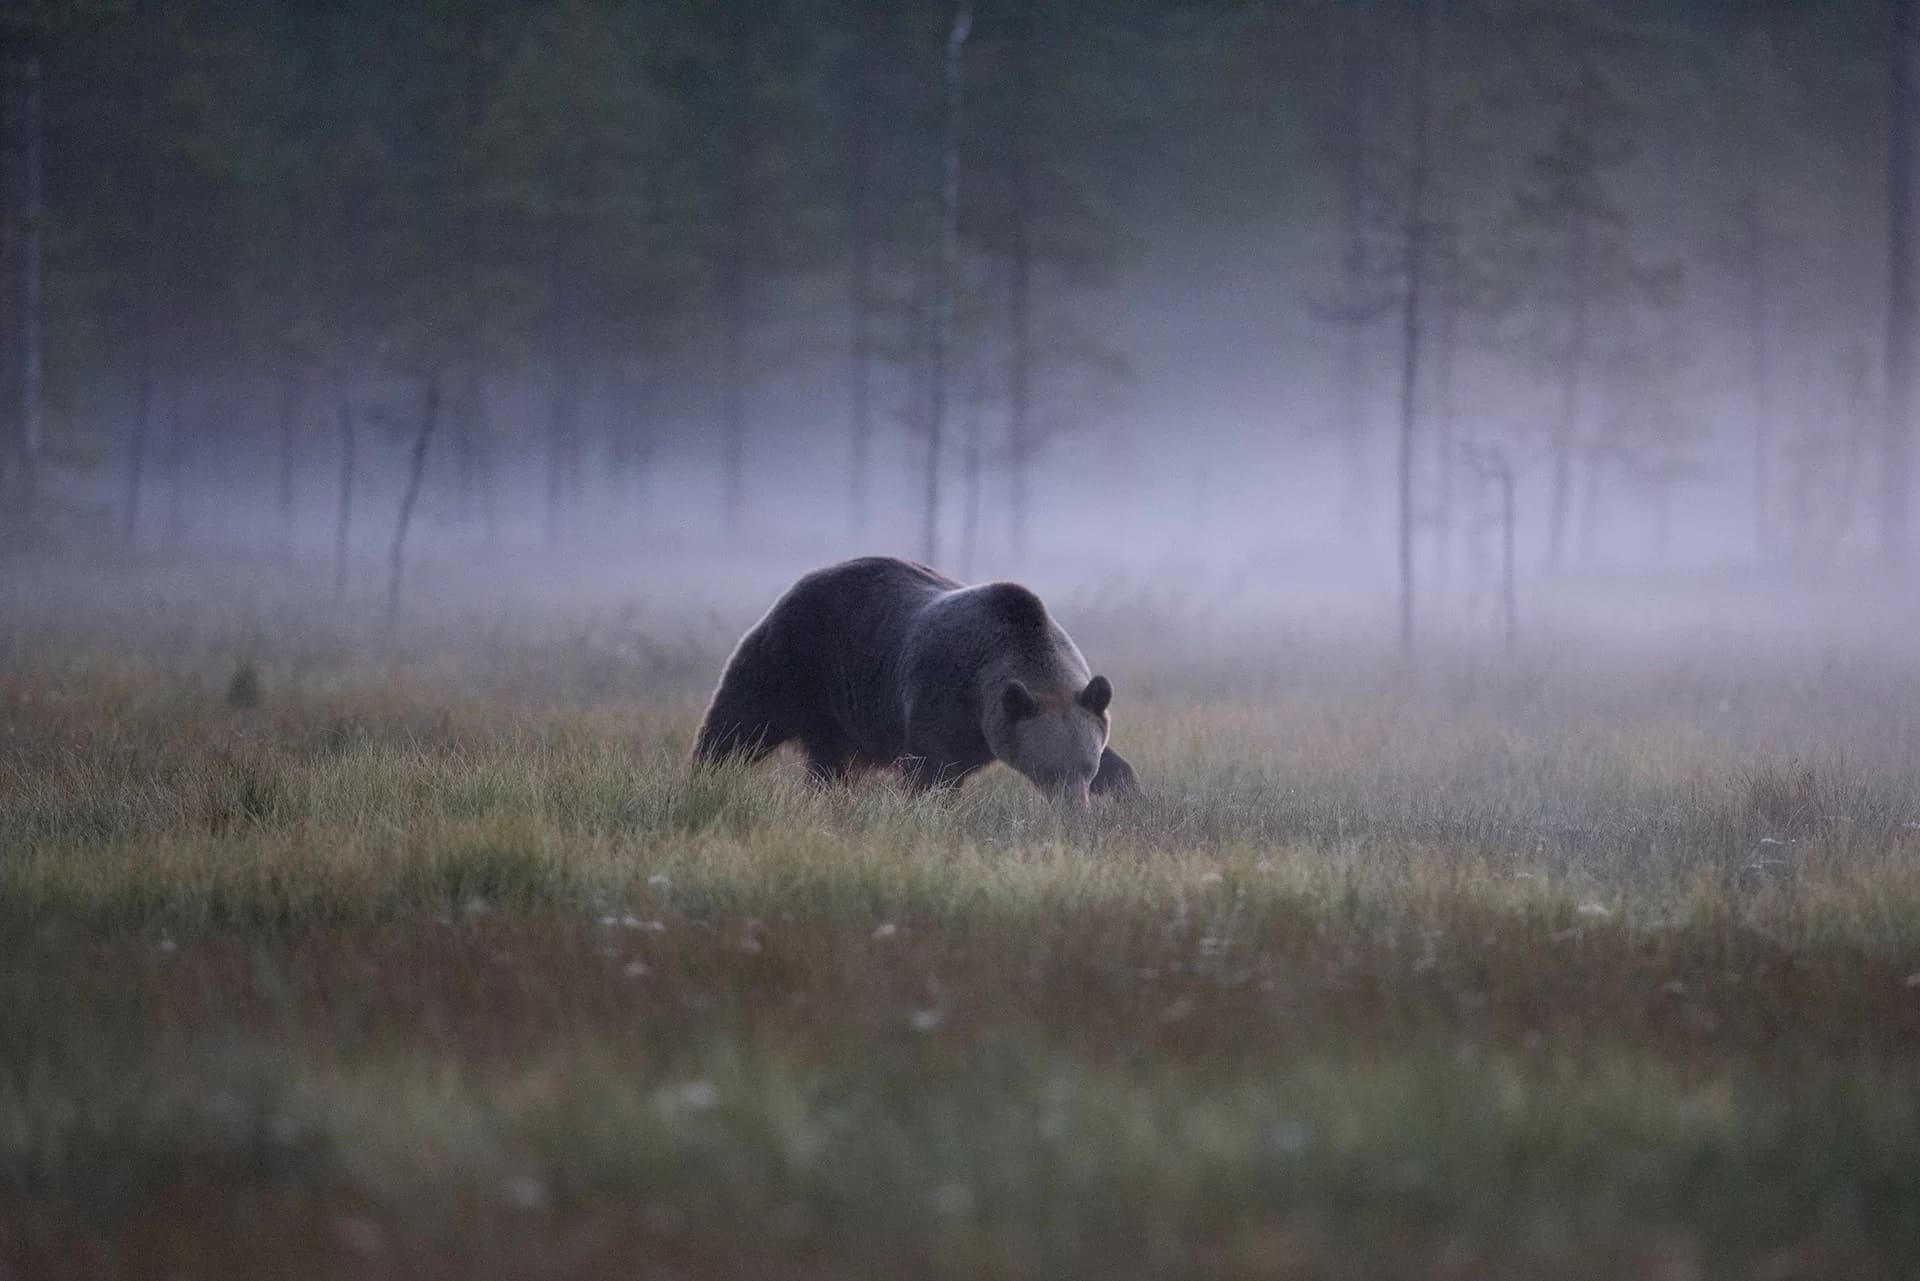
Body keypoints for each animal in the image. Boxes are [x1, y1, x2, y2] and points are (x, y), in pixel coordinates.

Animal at [693, 556, 1139, 808]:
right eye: (1048, 770)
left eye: (1086, 767)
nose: (1074, 810)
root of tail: (805, 579)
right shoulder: (942, 701)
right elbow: (931, 773)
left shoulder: (1075, 704)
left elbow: (1119, 766)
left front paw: (1130, 799)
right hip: (796, 663)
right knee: (740, 721)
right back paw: (704, 776)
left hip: (836, 715)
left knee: (829, 764)